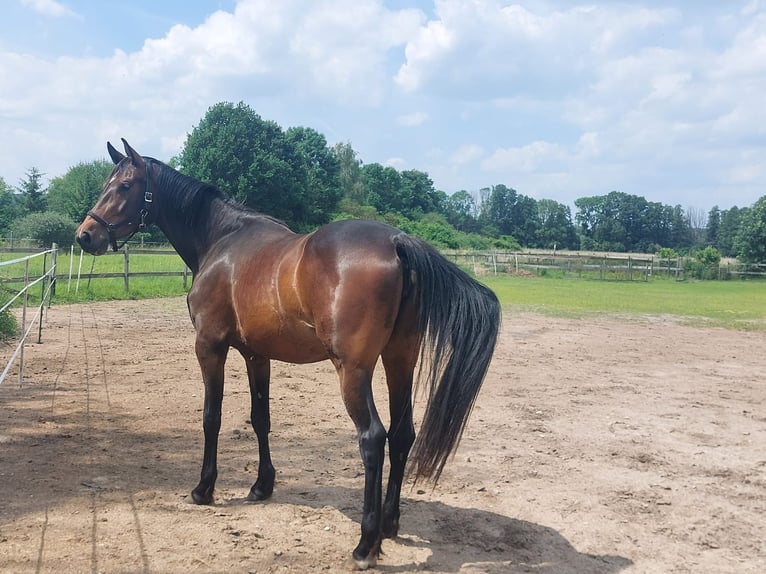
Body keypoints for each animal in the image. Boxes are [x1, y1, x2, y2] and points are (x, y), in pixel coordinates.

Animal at [75, 140, 500, 572]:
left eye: (125, 185)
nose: (85, 235)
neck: (222, 241)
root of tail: (397, 242)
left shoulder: (209, 346)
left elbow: (212, 417)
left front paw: (204, 488)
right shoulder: (256, 356)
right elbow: (260, 418)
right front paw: (262, 485)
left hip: (353, 371)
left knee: (372, 438)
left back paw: (366, 544)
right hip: (400, 361)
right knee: (401, 434)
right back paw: (389, 523)